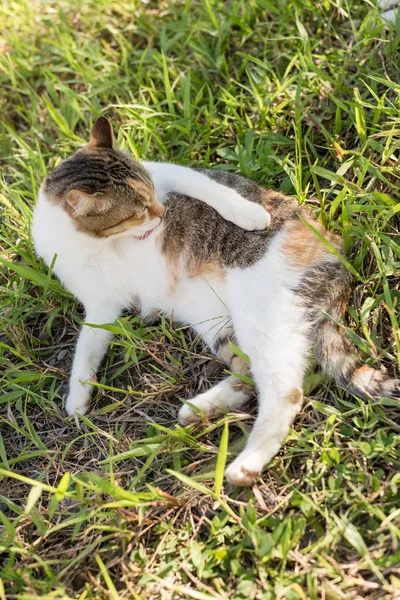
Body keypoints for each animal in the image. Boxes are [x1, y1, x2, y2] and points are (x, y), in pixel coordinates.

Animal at [32, 117, 400, 488]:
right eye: (137, 212)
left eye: (151, 194)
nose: (162, 213)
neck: (97, 242)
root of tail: (338, 253)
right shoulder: (101, 307)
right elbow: (86, 349)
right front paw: (77, 401)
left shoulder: (166, 171)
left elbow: (204, 185)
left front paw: (250, 214)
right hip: (219, 324)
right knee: (247, 376)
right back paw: (198, 411)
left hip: (261, 312)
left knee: (285, 392)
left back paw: (245, 465)